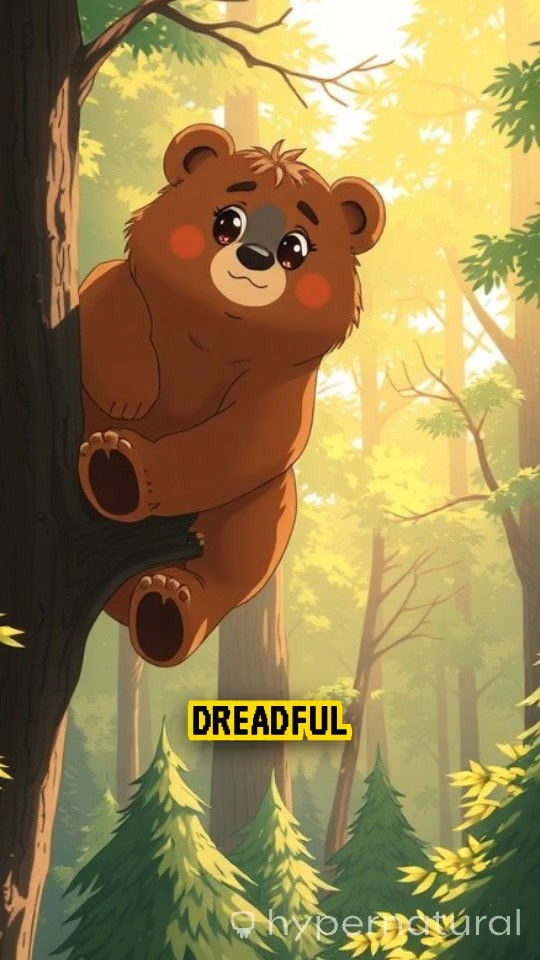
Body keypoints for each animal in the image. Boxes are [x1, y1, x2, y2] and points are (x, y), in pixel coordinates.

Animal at [78, 123, 385, 668]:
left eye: (294, 247)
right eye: (228, 220)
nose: (254, 257)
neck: (215, 330)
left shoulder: (280, 386)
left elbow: (244, 444)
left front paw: (127, 472)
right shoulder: (127, 292)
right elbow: (106, 291)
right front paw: (130, 397)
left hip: (261, 506)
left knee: (237, 557)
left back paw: (165, 607)